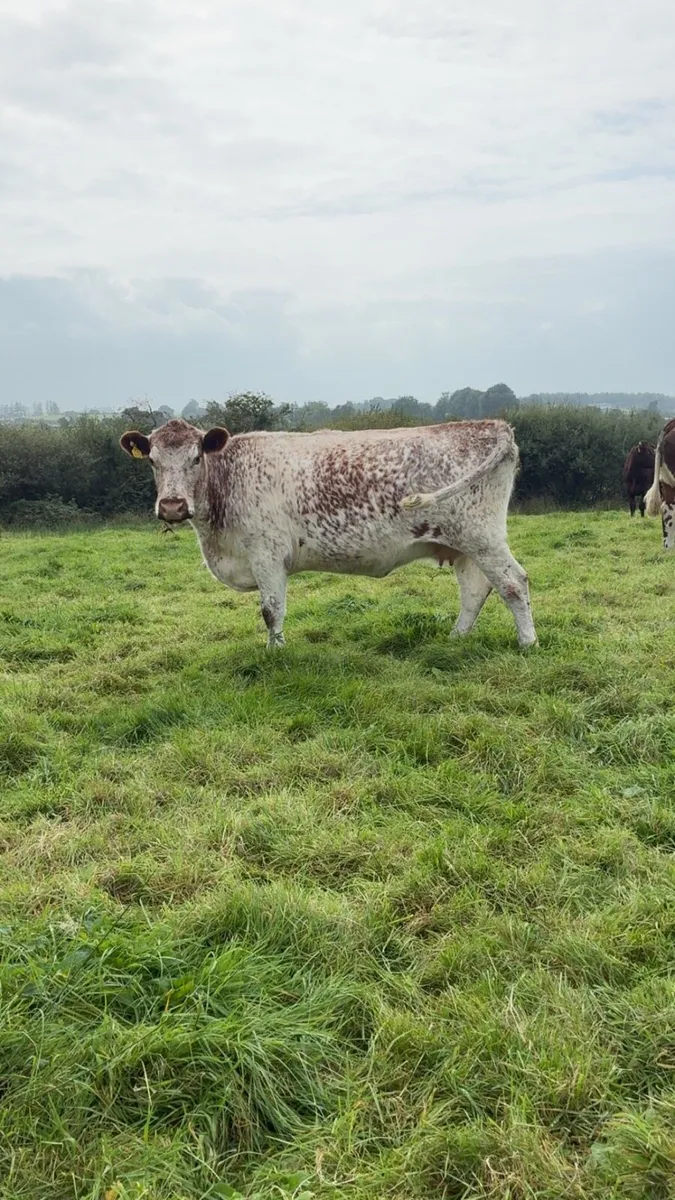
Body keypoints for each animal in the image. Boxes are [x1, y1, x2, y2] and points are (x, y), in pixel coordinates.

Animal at [120, 418, 537, 648]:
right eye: (153, 461)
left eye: (196, 458)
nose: (172, 506)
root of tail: (493, 425)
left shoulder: (267, 554)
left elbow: (271, 610)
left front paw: (275, 652)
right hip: (463, 545)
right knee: (475, 591)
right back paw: (456, 638)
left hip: (483, 538)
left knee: (513, 583)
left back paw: (528, 642)